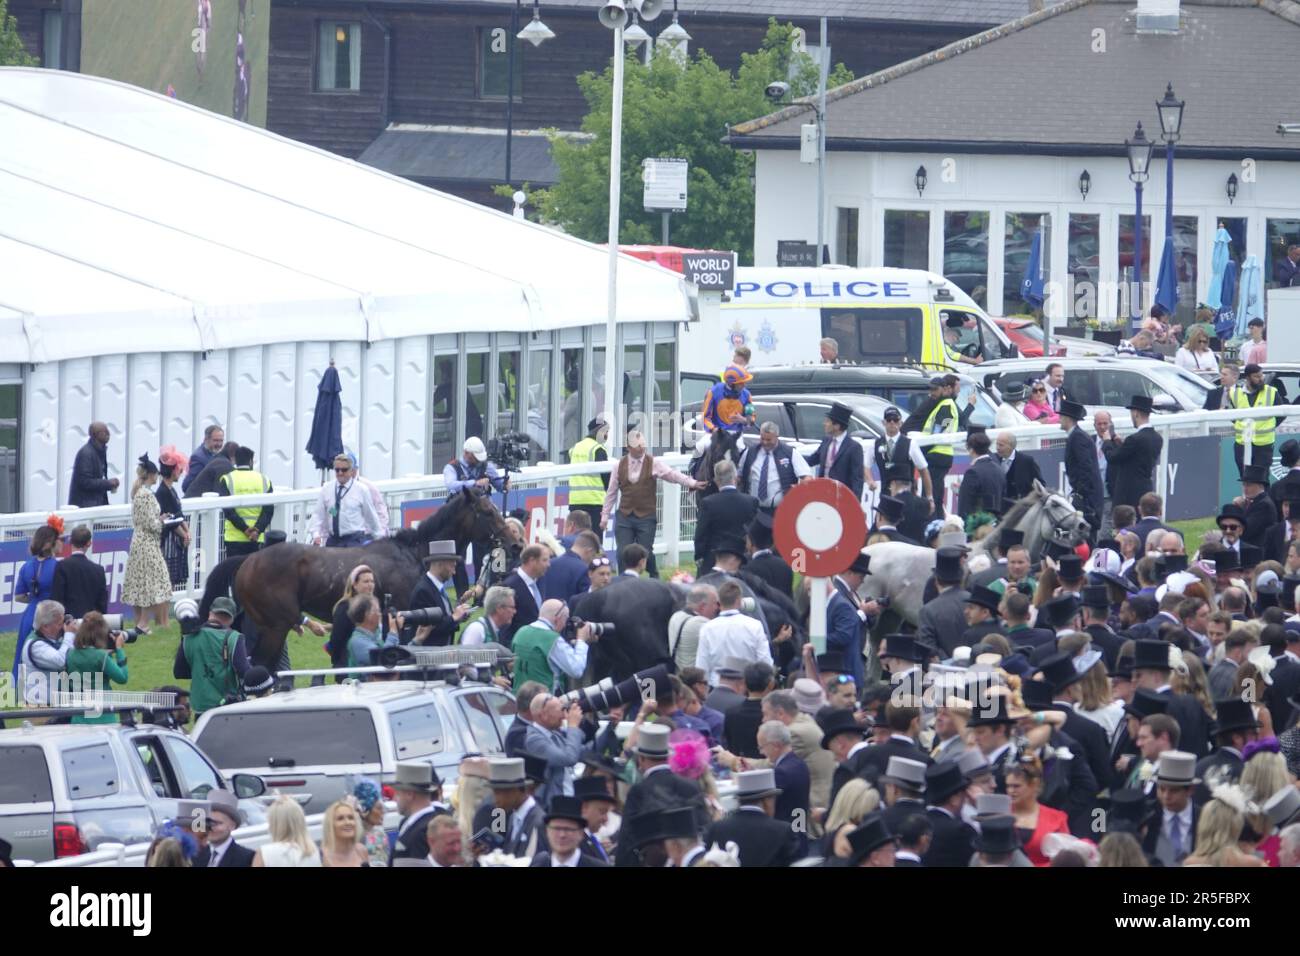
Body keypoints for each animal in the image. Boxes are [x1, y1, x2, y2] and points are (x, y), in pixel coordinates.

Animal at [233, 489, 517, 671]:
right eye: (487, 512)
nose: (515, 543)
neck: (414, 553)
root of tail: (246, 564)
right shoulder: (407, 615)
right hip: (276, 625)